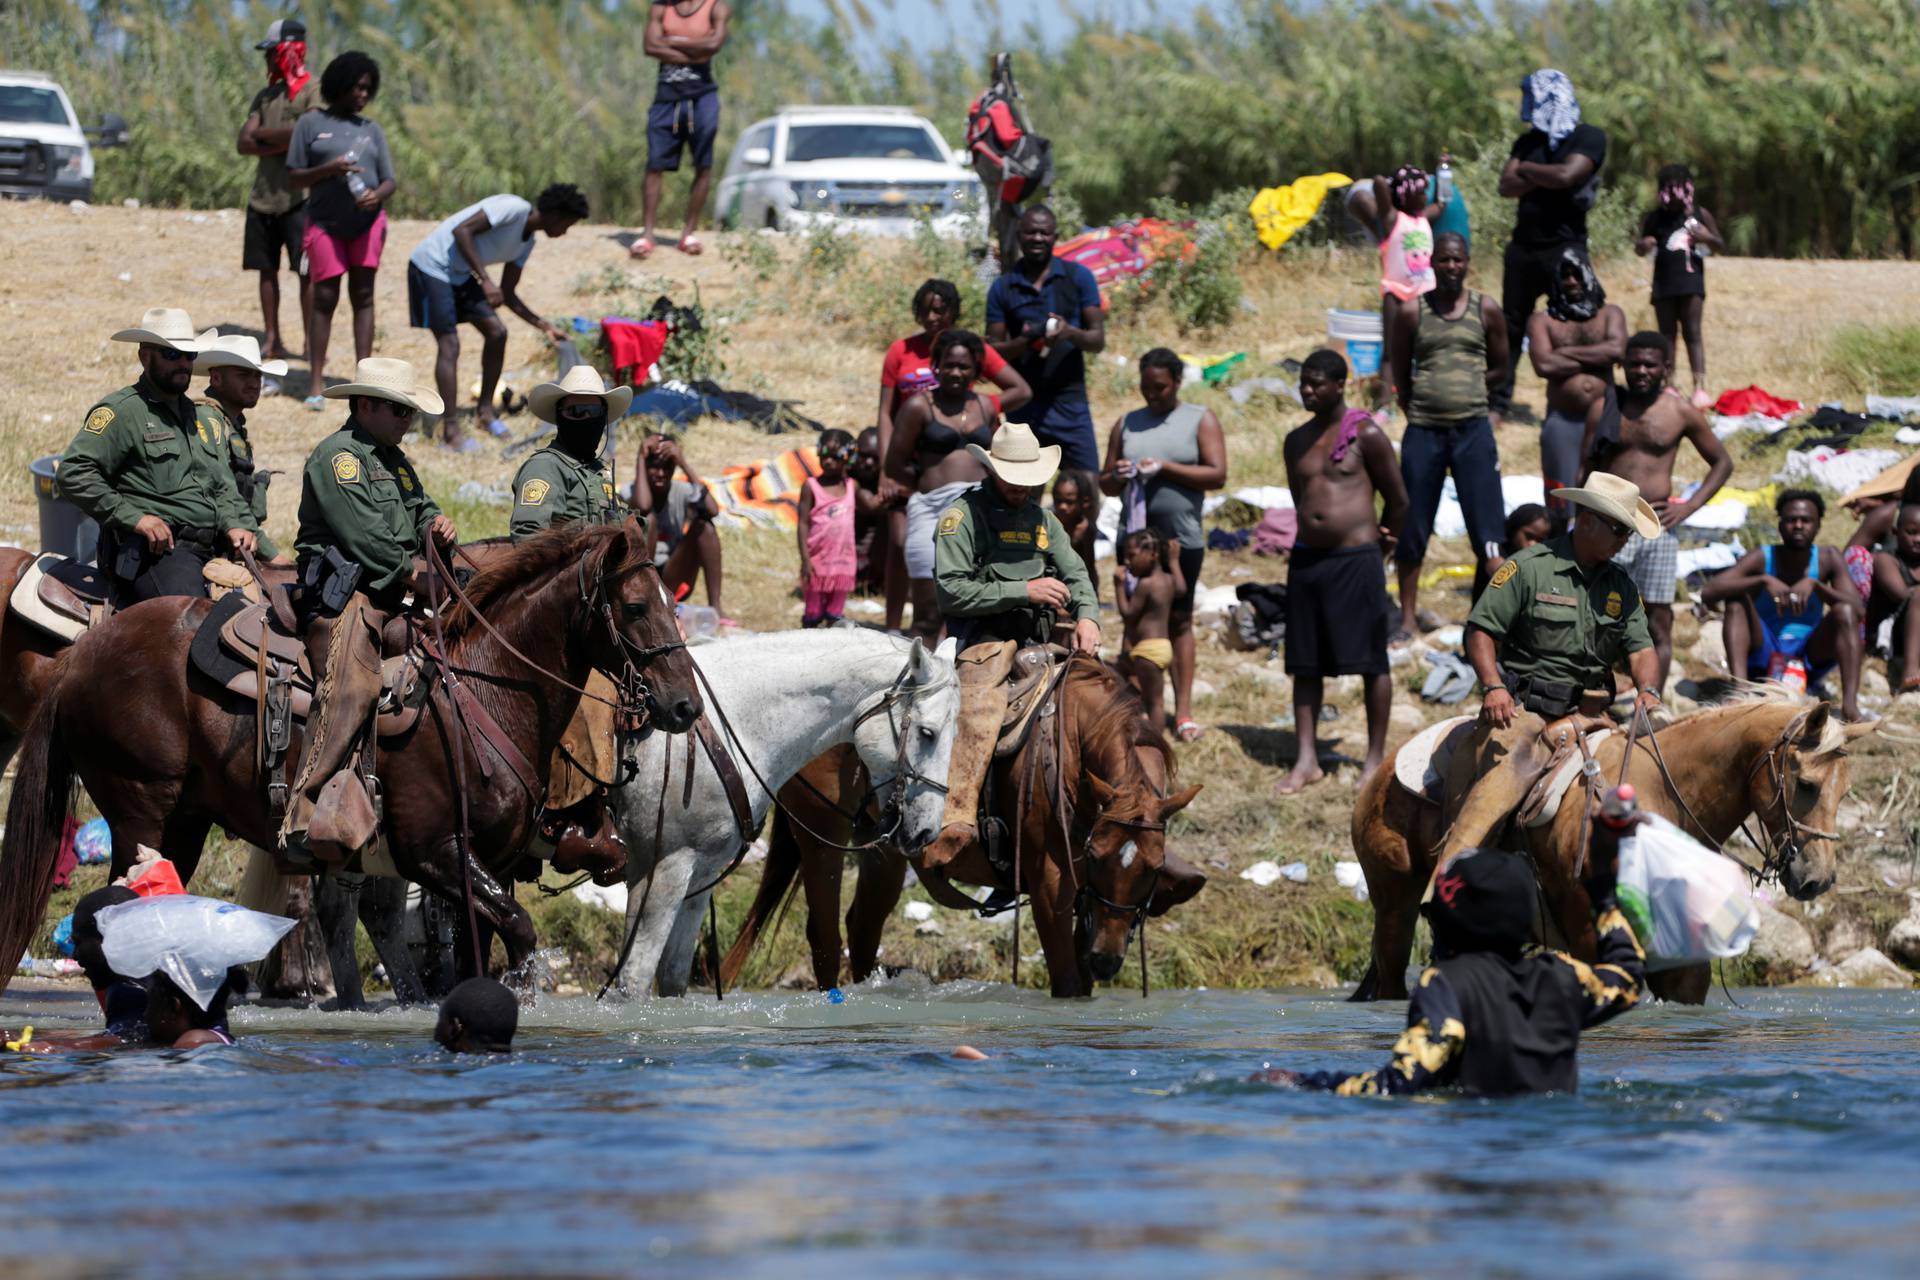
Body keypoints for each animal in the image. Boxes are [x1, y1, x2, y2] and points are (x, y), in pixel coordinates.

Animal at [0, 521, 706, 990]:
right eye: (635, 607)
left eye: (671, 603)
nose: (684, 706)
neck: (482, 689)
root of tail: (84, 653)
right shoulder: (435, 852)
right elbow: (521, 936)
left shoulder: (485, 864)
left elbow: (475, 954)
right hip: (141, 808)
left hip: (184, 823)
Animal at [602, 629, 956, 997]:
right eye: (927, 733)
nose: (927, 833)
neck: (733, 725)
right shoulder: (659, 871)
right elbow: (633, 982)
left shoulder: (697, 878)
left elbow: (672, 979)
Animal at [725, 660, 1205, 997]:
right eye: (1097, 855)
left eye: (1153, 867)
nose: (1106, 960)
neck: (1070, 752)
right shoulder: (1050, 884)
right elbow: (1066, 982)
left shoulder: (1091, 901)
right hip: (821, 836)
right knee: (825, 935)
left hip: (884, 850)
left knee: (862, 931)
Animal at [1351, 687, 1873, 1005]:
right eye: (1806, 784)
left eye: (1846, 789)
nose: (1817, 879)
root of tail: (1382, 768)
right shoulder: (1586, 932)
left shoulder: (1682, 962)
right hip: (1394, 905)